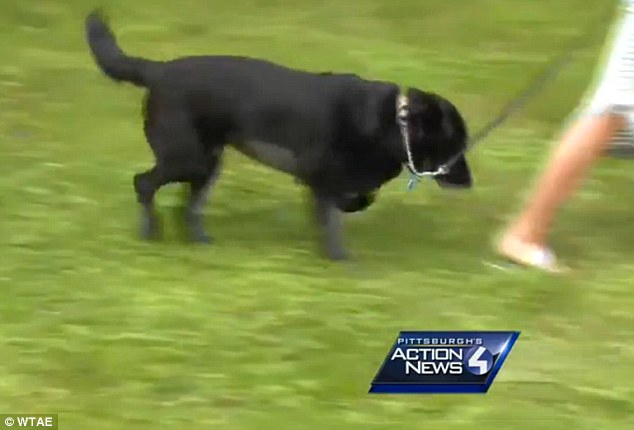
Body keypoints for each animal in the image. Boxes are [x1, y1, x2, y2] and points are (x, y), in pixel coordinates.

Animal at [84, 10, 470, 258]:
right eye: (454, 145)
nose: (469, 183)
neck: (391, 121)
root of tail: (158, 71)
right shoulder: (321, 179)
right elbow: (335, 220)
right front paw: (340, 261)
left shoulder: (327, 183)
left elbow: (353, 202)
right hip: (187, 158)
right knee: (144, 184)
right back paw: (151, 233)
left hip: (207, 163)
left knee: (188, 206)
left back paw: (200, 242)